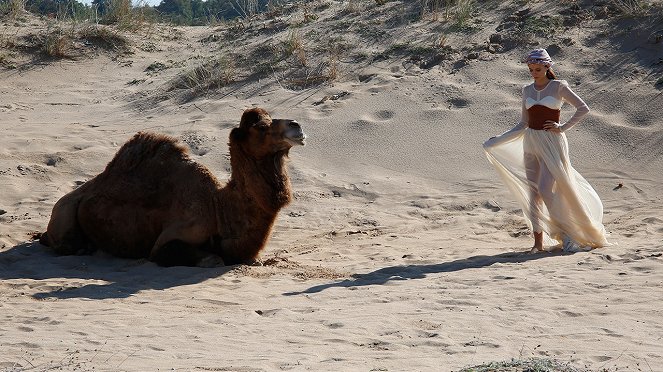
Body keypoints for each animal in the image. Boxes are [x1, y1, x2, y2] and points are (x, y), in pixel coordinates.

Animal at [37, 107, 306, 268]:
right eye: (261, 127)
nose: (297, 125)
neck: (218, 207)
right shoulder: (167, 242)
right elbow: (211, 259)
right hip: (64, 213)